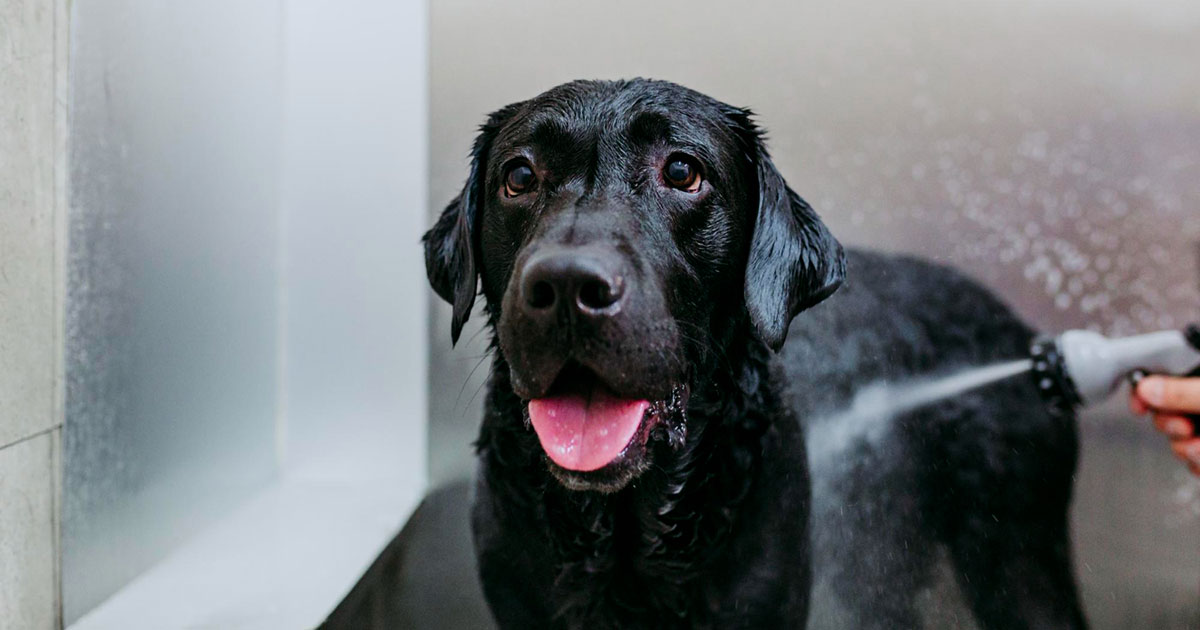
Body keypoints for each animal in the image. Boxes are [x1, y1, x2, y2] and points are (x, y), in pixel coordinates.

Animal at [424, 79, 1089, 628]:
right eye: (519, 177)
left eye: (682, 171)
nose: (565, 285)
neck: (628, 543)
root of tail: (1024, 333)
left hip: (1016, 552)